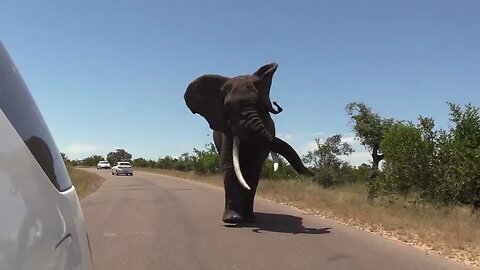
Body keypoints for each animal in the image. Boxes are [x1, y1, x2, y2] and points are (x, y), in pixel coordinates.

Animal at [185, 63, 316, 224]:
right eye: (228, 107)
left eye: (261, 106)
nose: (314, 174)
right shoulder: (226, 130)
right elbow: (230, 166)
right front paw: (232, 220)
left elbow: (254, 168)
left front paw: (248, 219)